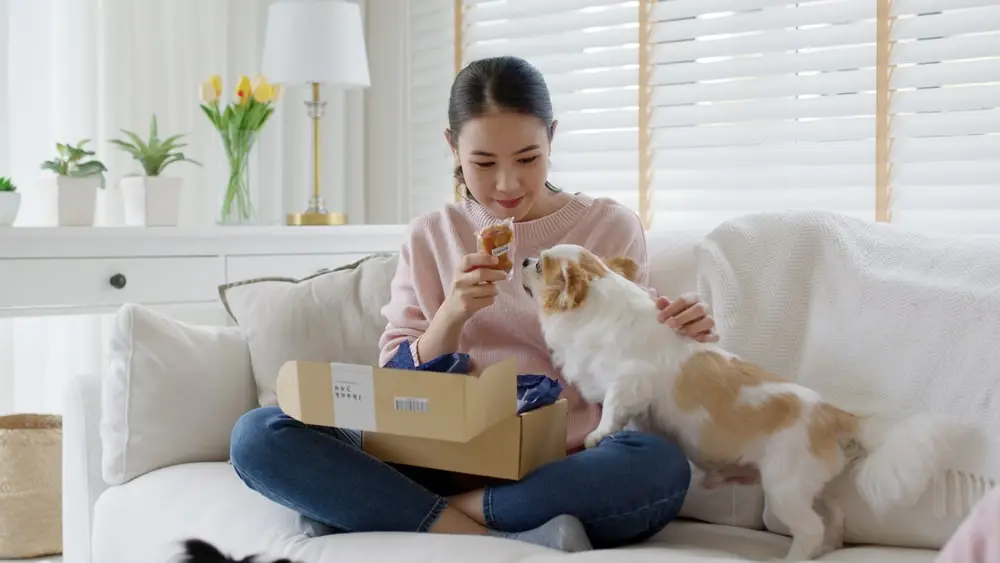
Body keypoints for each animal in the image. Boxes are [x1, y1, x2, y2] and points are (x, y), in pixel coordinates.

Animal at [520, 245, 964, 560]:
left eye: (540, 266)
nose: (522, 258)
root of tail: (833, 414)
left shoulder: (630, 382)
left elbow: (612, 410)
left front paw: (598, 436)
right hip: (812, 487)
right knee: (834, 516)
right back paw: (829, 548)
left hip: (784, 488)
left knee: (810, 529)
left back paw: (795, 558)